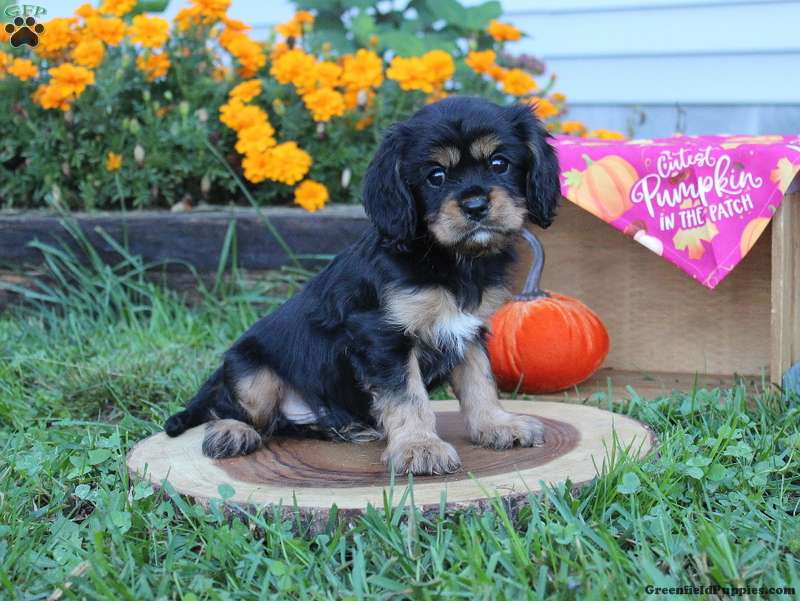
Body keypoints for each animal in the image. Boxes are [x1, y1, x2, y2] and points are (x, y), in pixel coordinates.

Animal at [165, 97, 560, 474]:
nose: (475, 205)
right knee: (231, 409)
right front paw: (419, 448)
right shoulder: (384, 337)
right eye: (435, 176)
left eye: (499, 164)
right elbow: (408, 396)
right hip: (252, 374)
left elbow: (481, 382)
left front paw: (498, 426)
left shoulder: (469, 330)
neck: (450, 259)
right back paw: (233, 431)